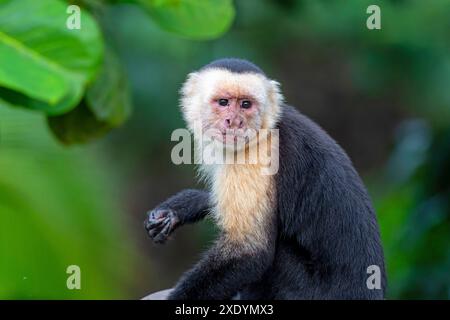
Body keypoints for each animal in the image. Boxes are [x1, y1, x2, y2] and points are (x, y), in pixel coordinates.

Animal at [144, 57, 386, 300]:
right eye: (223, 102)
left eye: (246, 104)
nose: (234, 121)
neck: (264, 130)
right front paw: (185, 205)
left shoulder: (257, 156)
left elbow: (249, 251)